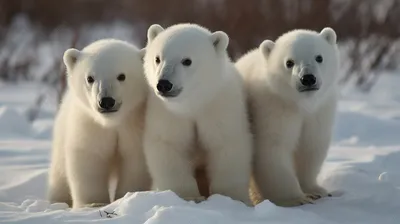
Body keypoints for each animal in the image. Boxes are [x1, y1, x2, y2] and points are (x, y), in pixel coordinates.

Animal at [48, 38, 152, 208]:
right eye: (90, 78)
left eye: (121, 76)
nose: (106, 101)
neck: (112, 122)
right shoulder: (90, 125)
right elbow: (90, 160)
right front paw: (93, 204)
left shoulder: (135, 124)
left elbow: (135, 162)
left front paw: (126, 197)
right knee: (59, 177)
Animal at [142, 23, 252, 205]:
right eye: (157, 58)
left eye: (187, 61)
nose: (164, 84)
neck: (193, 103)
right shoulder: (169, 114)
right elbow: (169, 146)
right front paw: (188, 196)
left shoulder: (218, 108)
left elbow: (226, 145)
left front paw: (230, 198)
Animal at [236, 28, 340, 206]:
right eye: (289, 62)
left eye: (319, 57)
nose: (308, 78)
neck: (299, 104)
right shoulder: (273, 109)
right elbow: (274, 150)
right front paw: (297, 199)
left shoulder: (318, 113)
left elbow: (310, 147)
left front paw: (316, 190)